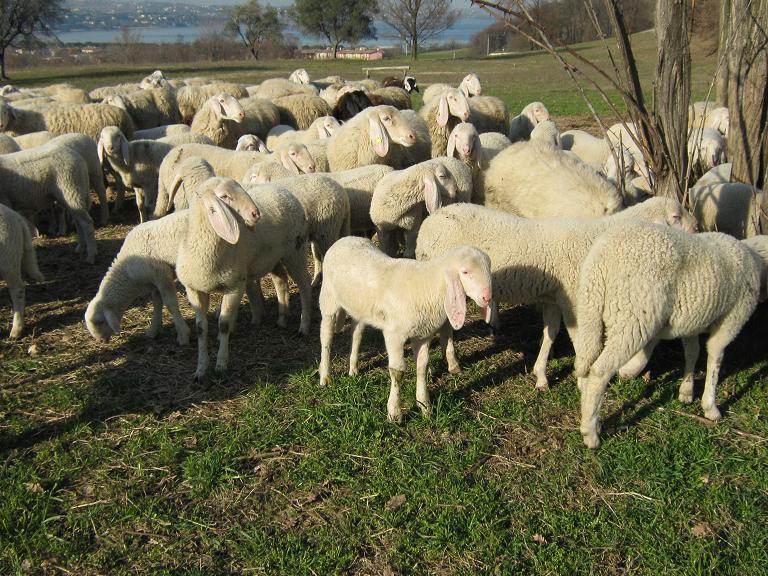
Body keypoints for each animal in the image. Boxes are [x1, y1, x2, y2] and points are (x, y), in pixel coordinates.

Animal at [171, 179, 312, 378]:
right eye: (224, 196)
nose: (256, 214)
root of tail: (283, 191)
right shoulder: (194, 290)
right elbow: (200, 328)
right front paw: (200, 368)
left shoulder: (235, 286)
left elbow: (223, 324)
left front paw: (221, 364)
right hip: (272, 257)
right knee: (281, 280)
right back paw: (282, 318)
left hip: (296, 250)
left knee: (305, 285)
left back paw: (304, 326)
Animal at [318, 236, 492, 422]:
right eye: (465, 272)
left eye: (489, 267)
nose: (487, 297)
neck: (429, 287)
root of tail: (346, 238)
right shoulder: (394, 334)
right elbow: (397, 371)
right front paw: (394, 413)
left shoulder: (423, 335)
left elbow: (422, 367)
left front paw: (424, 407)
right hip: (328, 299)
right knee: (326, 338)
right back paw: (325, 376)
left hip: (359, 309)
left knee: (356, 334)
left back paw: (353, 369)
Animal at [415, 198, 698, 387]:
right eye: (675, 216)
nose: (697, 228)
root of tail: (432, 218)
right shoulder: (574, 299)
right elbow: (580, 340)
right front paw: (583, 380)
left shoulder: (554, 298)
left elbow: (550, 333)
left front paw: (541, 375)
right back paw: (448, 361)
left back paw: (451, 362)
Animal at [574, 222, 763, 448]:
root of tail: (602, 260)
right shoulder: (733, 319)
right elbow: (715, 358)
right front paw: (710, 406)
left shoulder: (692, 321)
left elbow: (692, 353)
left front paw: (686, 390)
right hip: (634, 315)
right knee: (599, 371)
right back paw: (591, 434)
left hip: (590, 311)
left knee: (586, 362)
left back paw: (590, 416)